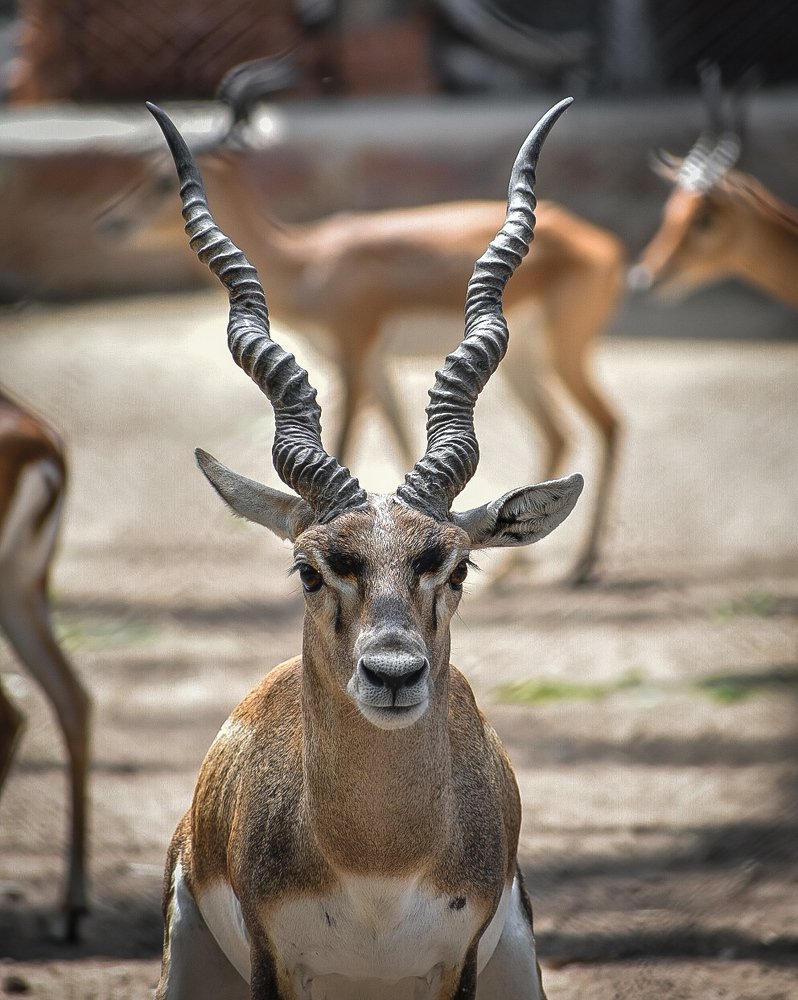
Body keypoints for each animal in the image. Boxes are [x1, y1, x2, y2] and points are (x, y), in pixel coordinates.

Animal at [99, 106, 622, 586]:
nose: (112, 222)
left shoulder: (353, 355)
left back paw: (580, 566)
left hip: (564, 354)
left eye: (161, 181)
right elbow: (398, 436)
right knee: (559, 433)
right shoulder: (374, 366)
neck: (310, 262)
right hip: (524, 364)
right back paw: (523, 567)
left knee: (608, 424)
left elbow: (350, 435)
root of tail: (601, 242)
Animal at [148, 96, 583, 999]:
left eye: (457, 565)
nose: (392, 674)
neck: (378, 868)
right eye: (309, 569)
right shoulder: (274, 965)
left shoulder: (459, 966)